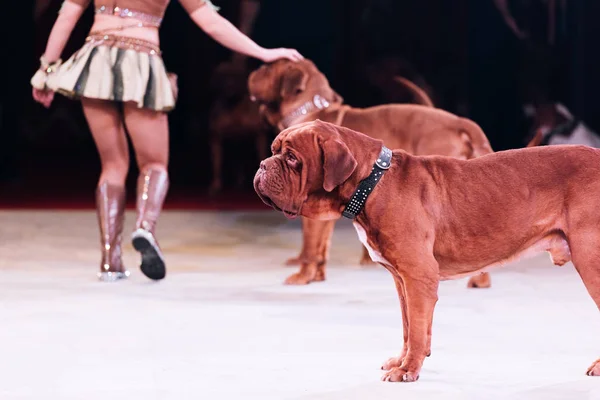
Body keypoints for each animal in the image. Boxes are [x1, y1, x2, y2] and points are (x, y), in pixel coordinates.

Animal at [248, 57, 492, 288]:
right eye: (273, 151)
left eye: (266, 68)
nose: (263, 165)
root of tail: (460, 121)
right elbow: (322, 245)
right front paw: (317, 275)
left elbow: (310, 245)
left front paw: (302, 275)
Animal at [255, 120, 600, 382]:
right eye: (274, 152)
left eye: (292, 158)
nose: (261, 165)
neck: (372, 182)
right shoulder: (403, 280)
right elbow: (410, 327)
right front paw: (403, 361)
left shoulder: (418, 276)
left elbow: (418, 328)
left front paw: (408, 370)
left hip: (591, 262)